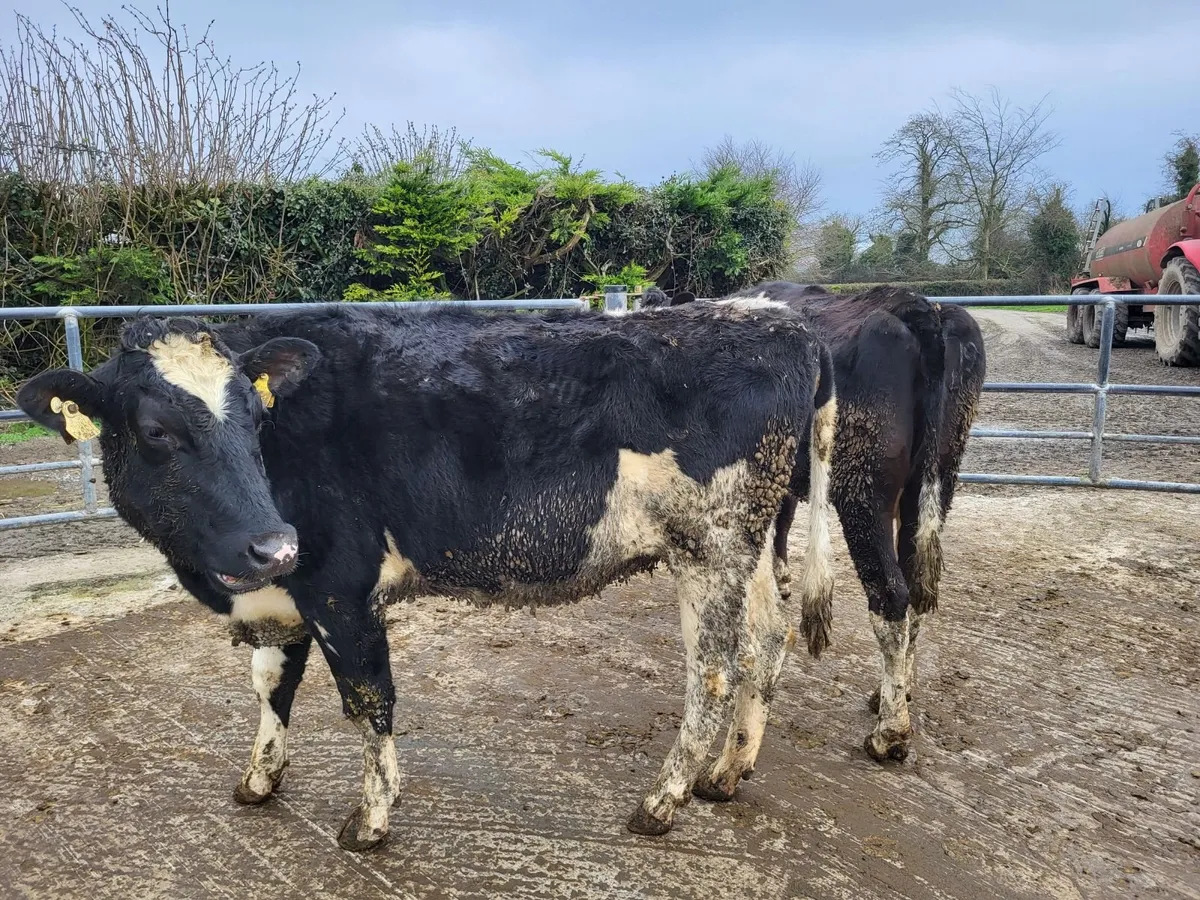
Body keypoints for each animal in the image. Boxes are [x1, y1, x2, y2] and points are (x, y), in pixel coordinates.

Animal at [17, 301, 838, 851]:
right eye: (156, 431)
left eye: (255, 417)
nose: (273, 542)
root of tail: (779, 319)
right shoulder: (283, 590)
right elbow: (271, 685)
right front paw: (260, 778)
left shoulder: (339, 585)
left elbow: (368, 700)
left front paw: (371, 819)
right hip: (752, 542)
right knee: (767, 640)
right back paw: (726, 774)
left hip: (713, 545)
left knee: (713, 673)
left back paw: (663, 802)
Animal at [638, 282, 986, 770]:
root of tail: (918, 308)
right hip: (935, 479)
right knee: (917, 587)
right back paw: (891, 694)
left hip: (862, 490)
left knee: (891, 596)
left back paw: (890, 733)